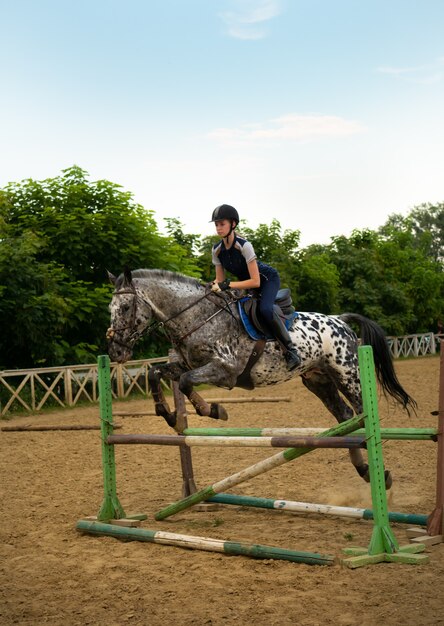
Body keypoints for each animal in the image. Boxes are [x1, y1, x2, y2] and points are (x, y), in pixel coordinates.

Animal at [106, 266, 416, 486]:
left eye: (125, 308)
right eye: (110, 310)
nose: (114, 351)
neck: (197, 317)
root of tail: (340, 320)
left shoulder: (225, 370)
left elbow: (183, 383)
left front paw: (213, 410)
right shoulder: (185, 364)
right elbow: (155, 373)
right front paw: (169, 415)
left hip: (348, 375)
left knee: (362, 414)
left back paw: (380, 474)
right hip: (318, 381)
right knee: (345, 417)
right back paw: (364, 470)